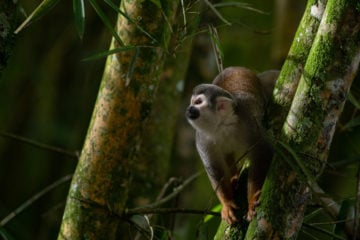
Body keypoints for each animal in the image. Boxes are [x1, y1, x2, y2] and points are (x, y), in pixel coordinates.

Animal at [186, 66, 278, 224]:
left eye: (198, 102)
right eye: (192, 102)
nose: (189, 109)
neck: (222, 126)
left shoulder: (248, 122)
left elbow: (262, 151)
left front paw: (252, 199)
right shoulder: (202, 139)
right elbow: (215, 168)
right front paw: (227, 203)